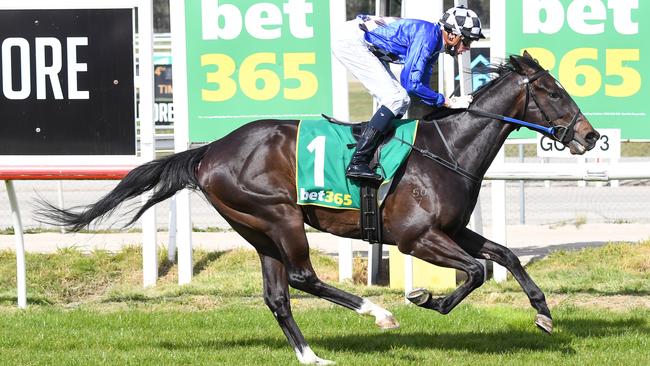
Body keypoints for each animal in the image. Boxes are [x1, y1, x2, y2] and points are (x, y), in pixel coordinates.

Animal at [39, 53, 596, 364]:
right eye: (552, 91)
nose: (590, 137)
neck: (447, 149)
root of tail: (210, 150)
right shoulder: (416, 237)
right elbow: (478, 270)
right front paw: (425, 298)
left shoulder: (452, 229)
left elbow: (504, 255)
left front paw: (544, 314)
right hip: (280, 216)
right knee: (302, 277)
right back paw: (378, 313)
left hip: (258, 229)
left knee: (278, 295)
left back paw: (312, 357)